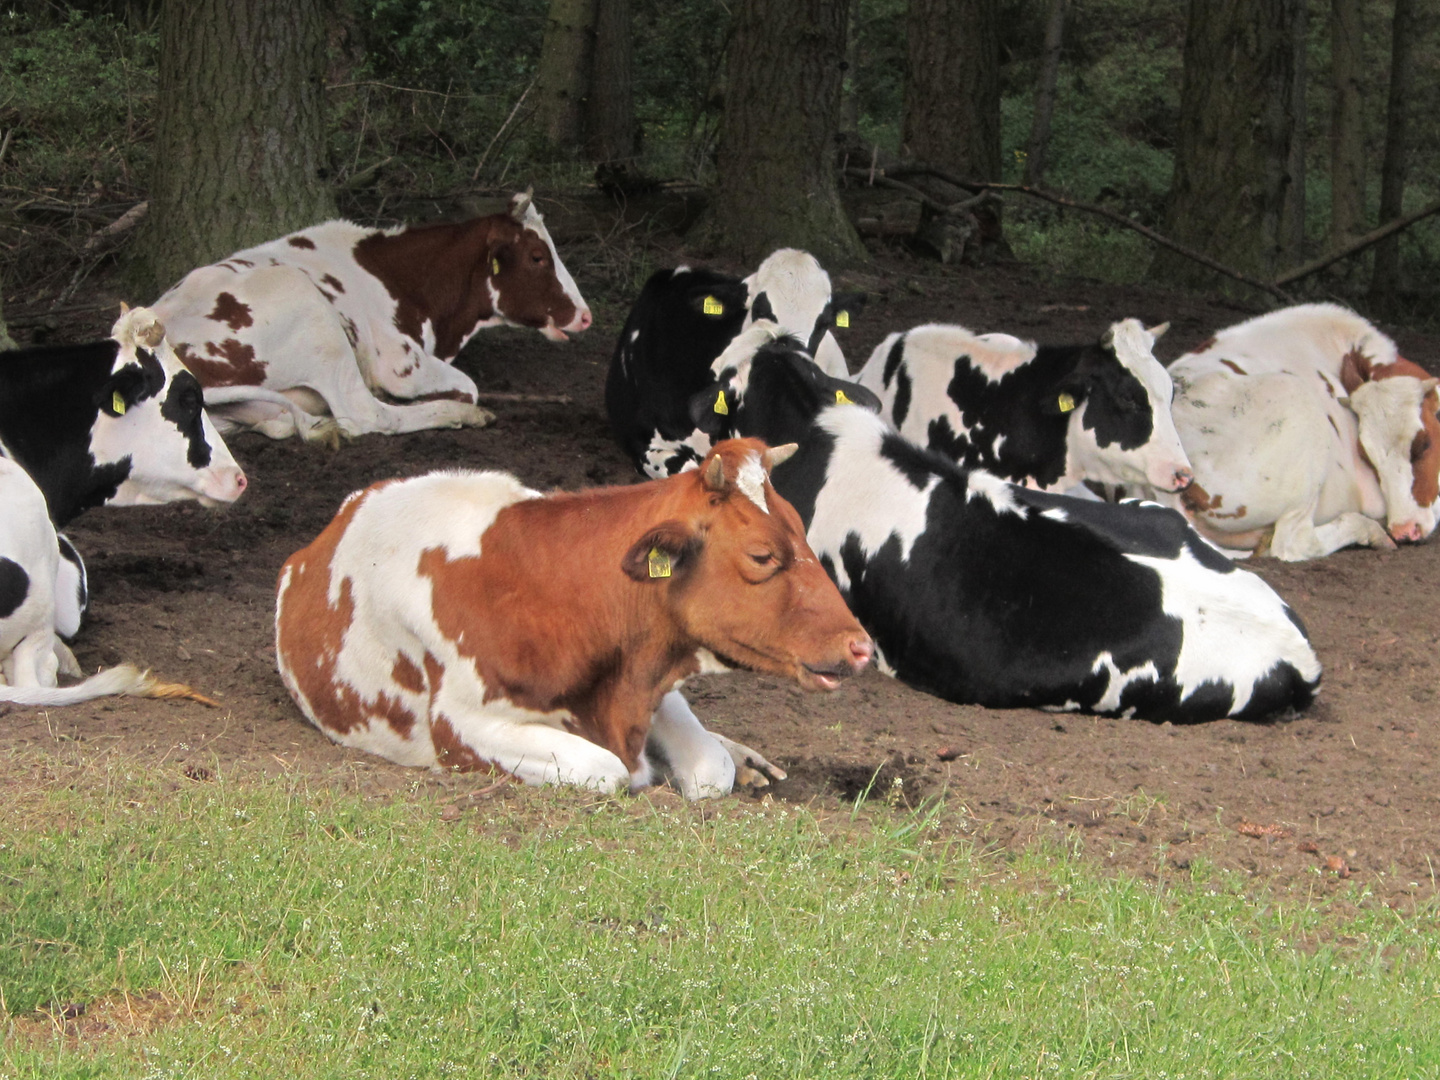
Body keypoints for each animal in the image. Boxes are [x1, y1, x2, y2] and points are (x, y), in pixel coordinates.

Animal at [273, 434, 869, 800]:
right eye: (761, 555)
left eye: (802, 530)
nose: (861, 646)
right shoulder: (460, 724)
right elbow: (609, 771)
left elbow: (709, 770)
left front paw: (728, 758)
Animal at [1157, 302, 1440, 561]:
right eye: (1368, 455)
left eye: (1424, 445)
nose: (1405, 529)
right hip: (1298, 405)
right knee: (1293, 543)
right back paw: (1373, 532)